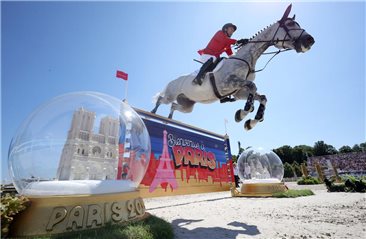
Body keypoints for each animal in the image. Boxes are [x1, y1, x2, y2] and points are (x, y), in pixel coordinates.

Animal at [150, 3, 314, 131]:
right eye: (291, 24)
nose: (310, 40)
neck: (248, 58)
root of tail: (173, 80)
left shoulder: (239, 92)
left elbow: (262, 97)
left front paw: (251, 122)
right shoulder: (230, 84)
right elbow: (253, 87)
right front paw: (242, 114)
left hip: (187, 105)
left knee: (174, 106)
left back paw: (168, 120)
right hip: (171, 94)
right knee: (161, 99)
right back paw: (153, 113)